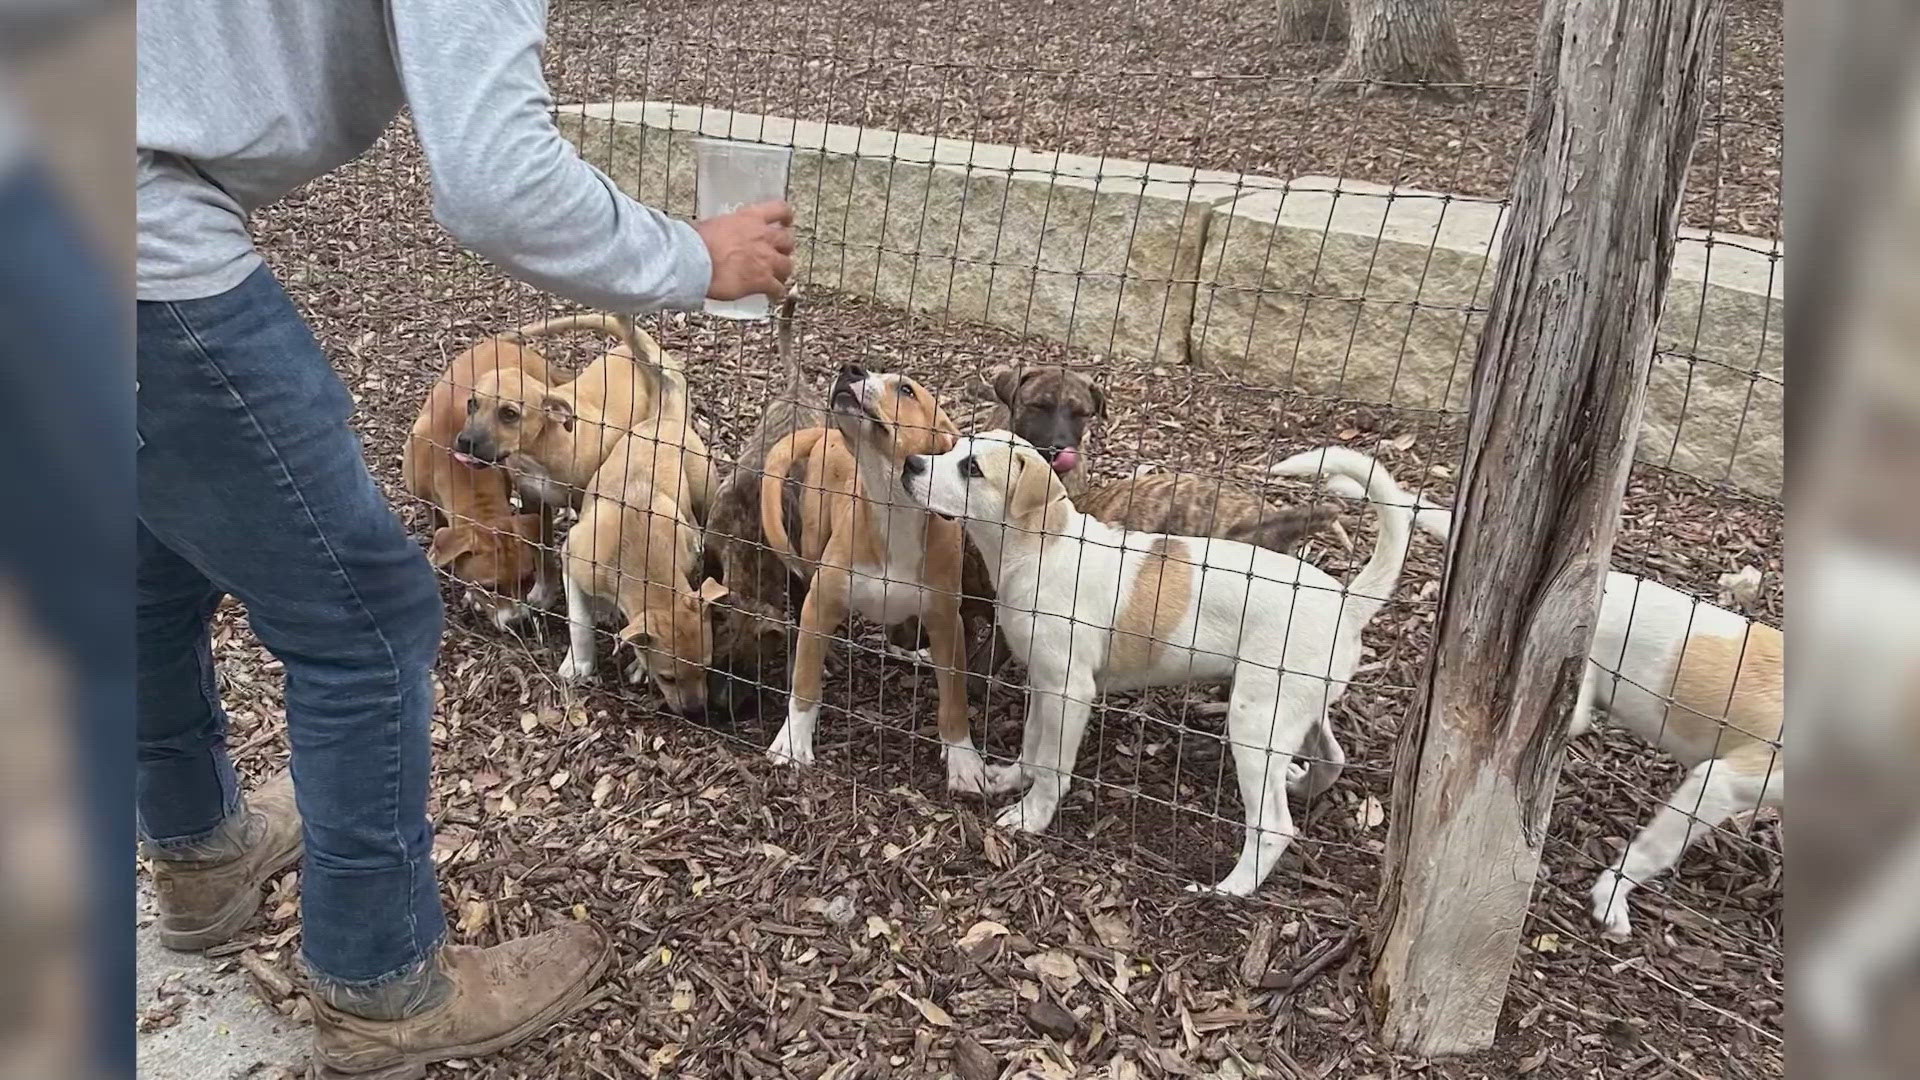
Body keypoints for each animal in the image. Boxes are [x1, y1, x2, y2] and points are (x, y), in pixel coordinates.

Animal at [756, 363, 983, 791]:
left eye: (907, 391)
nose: (850, 368)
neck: (891, 505)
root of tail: (826, 433)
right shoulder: (822, 602)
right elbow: (805, 685)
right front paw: (792, 743)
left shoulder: (947, 623)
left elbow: (955, 699)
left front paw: (964, 760)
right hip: (812, 544)